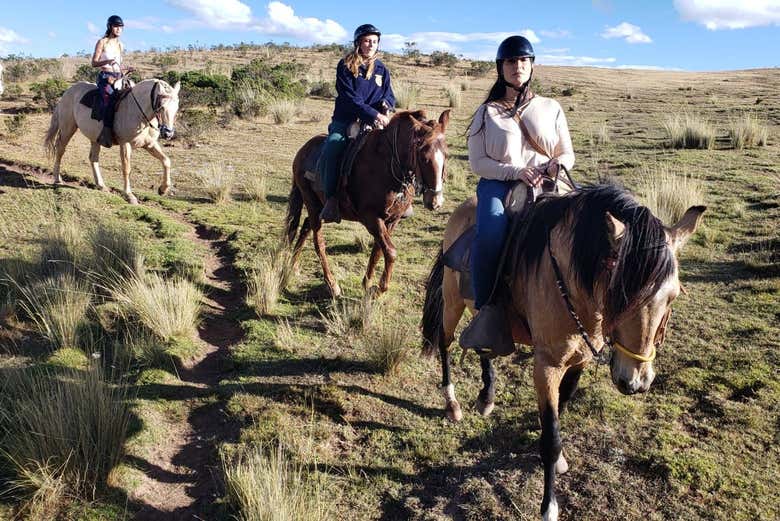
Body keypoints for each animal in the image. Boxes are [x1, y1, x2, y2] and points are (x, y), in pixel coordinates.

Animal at [44, 78, 181, 204]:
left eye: (176, 108)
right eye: (161, 107)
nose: (168, 133)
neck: (137, 112)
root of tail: (69, 91)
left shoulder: (150, 144)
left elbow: (166, 161)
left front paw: (163, 189)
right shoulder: (125, 144)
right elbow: (126, 169)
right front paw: (129, 195)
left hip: (95, 138)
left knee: (93, 158)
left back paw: (101, 185)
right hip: (68, 129)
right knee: (60, 150)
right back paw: (57, 178)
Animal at [284, 109, 450, 296]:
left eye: (446, 155)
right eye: (423, 157)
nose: (435, 201)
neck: (387, 166)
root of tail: (303, 150)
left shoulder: (392, 220)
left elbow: (378, 251)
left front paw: (367, 283)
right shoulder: (372, 218)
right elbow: (390, 252)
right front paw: (380, 289)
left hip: (318, 206)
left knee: (305, 226)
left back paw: (294, 266)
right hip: (311, 201)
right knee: (318, 241)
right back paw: (332, 284)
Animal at [420, 185, 708, 520]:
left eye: (673, 297)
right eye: (621, 294)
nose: (635, 381)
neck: (573, 284)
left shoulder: (580, 358)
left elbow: (563, 405)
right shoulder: (546, 367)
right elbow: (551, 438)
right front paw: (549, 506)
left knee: (485, 345)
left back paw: (487, 397)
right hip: (452, 302)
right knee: (445, 343)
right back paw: (451, 402)